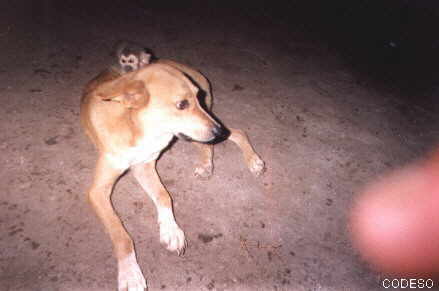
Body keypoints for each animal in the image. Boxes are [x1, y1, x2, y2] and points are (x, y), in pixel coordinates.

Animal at [80, 60, 264, 291]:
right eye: (182, 104)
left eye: (197, 97)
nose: (221, 132)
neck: (135, 126)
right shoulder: (99, 190)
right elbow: (121, 234)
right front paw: (130, 272)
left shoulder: (145, 166)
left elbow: (164, 196)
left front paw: (171, 230)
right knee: (217, 142)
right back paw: (208, 162)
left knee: (237, 133)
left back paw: (252, 160)